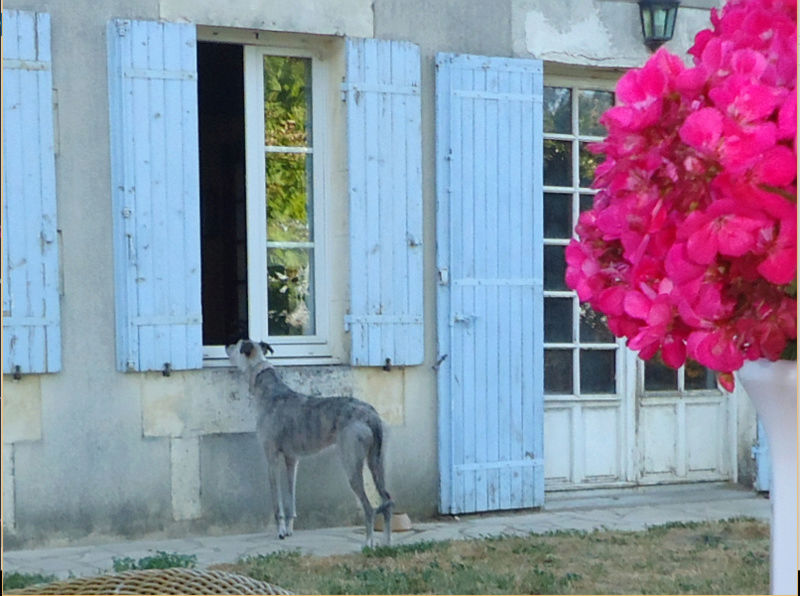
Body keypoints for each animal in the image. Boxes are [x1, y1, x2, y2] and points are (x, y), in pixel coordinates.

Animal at [227, 340, 396, 544]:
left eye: (237, 345)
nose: (226, 345)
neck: (269, 389)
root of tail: (371, 414)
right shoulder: (292, 459)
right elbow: (290, 497)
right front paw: (289, 529)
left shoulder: (272, 458)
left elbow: (277, 504)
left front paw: (281, 531)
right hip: (377, 463)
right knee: (386, 500)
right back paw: (387, 542)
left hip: (352, 464)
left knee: (369, 507)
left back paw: (369, 543)